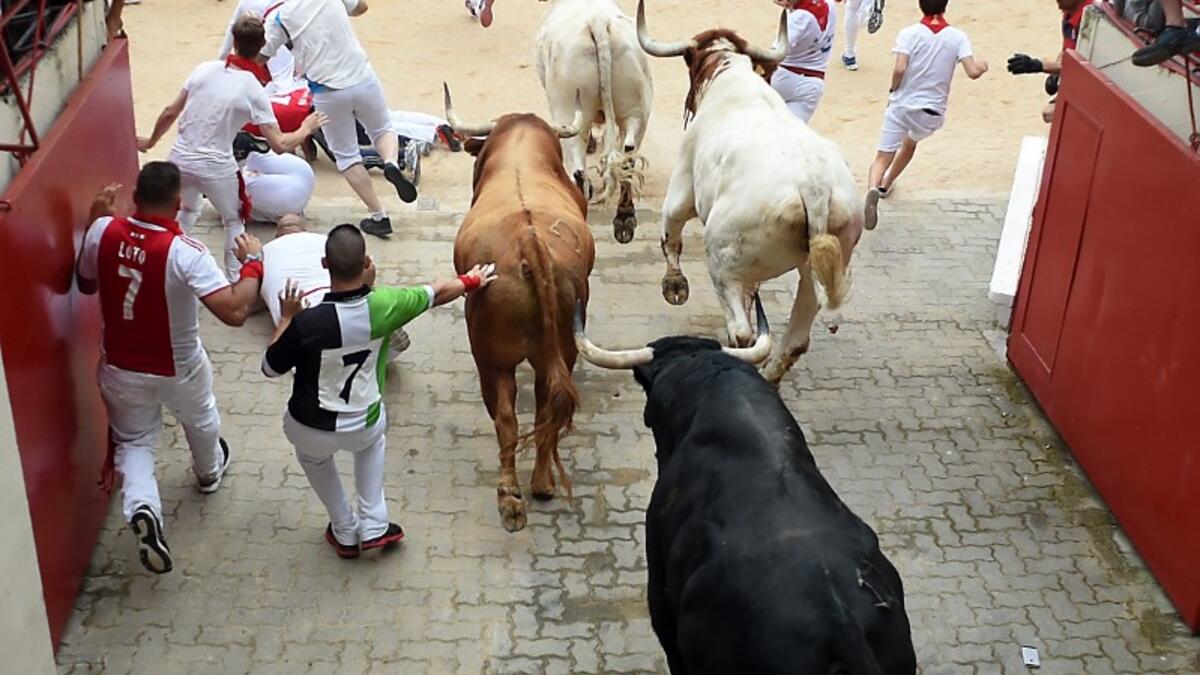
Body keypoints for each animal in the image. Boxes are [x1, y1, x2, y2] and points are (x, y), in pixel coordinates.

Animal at [445, 84, 597, 533]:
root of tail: (529, 242)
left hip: (490, 358)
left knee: (506, 418)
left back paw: (510, 496)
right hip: (560, 347)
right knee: (547, 405)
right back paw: (541, 483)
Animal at [536, 0, 654, 244]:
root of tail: (598, 23)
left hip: (566, 108)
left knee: (578, 168)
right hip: (637, 110)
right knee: (628, 155)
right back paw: (624, 219)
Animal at [636, 0, 866, 386]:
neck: (731, 76)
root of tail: (813, 186)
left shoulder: (681, 188)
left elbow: (671, 233)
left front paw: (674, 286)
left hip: (722, 261)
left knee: (742, 331)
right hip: (818, 264)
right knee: (796, 334)